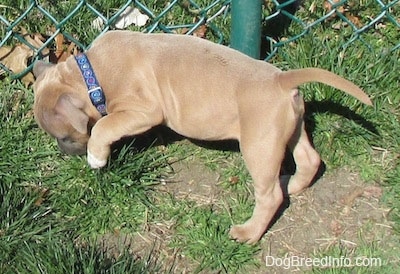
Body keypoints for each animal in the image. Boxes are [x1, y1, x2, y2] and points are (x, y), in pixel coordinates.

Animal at [32, 30, 372, 244]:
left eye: (65, 137)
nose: (66, 154)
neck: (90, 75)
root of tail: (280, 80)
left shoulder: (144, 110)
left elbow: (104, 126)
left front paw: (96, 156)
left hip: (258, 146)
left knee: (270, 195)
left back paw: (249, 233)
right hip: (291, 130)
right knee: (309, 160)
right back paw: (292, 185)